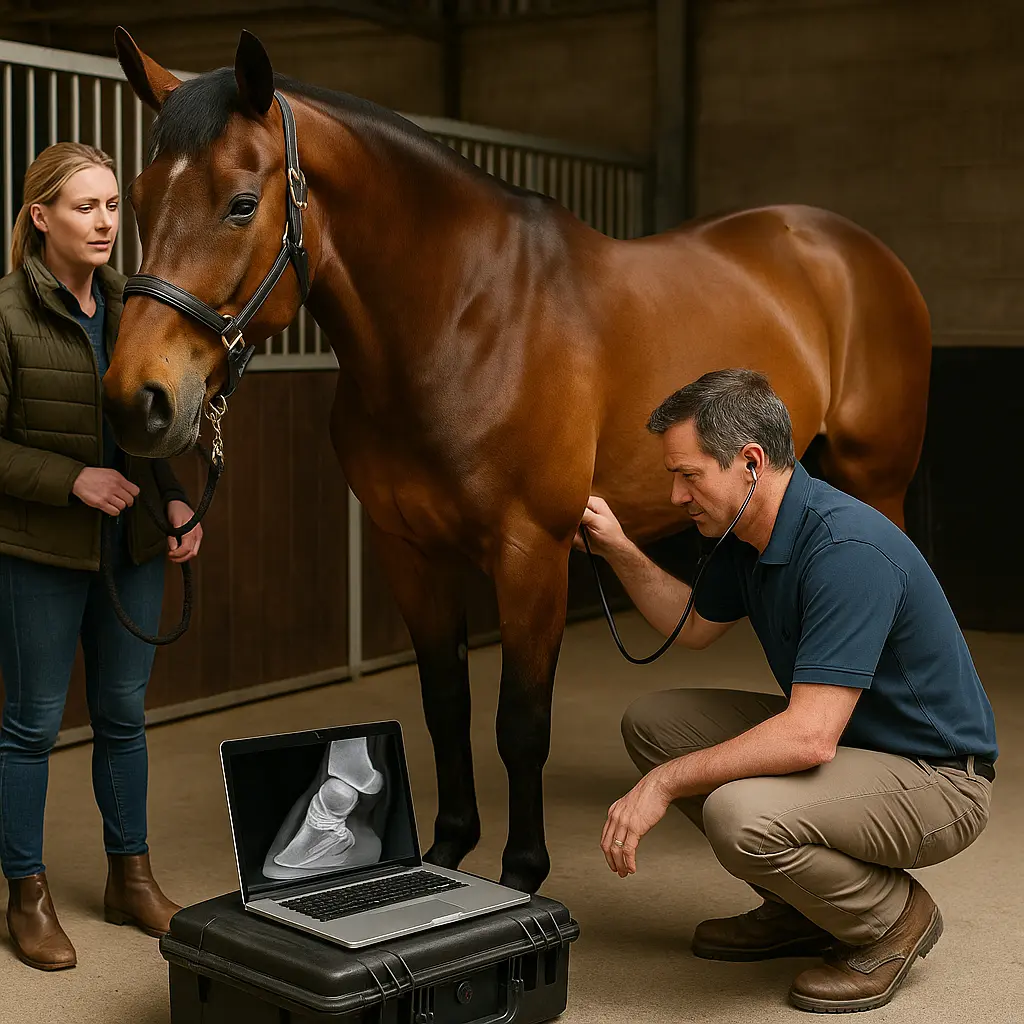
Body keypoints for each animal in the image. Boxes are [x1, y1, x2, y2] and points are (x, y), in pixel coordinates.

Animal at [102, 28, 931, 895]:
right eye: (138, 197)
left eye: (240, 204)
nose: (137, 400)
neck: (466, 318)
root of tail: (852, 248)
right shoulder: (410, 553)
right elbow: (444, 707)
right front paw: (447, 847)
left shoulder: (532, 553)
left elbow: (520, 724)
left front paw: (521, 870)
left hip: (877, 480)